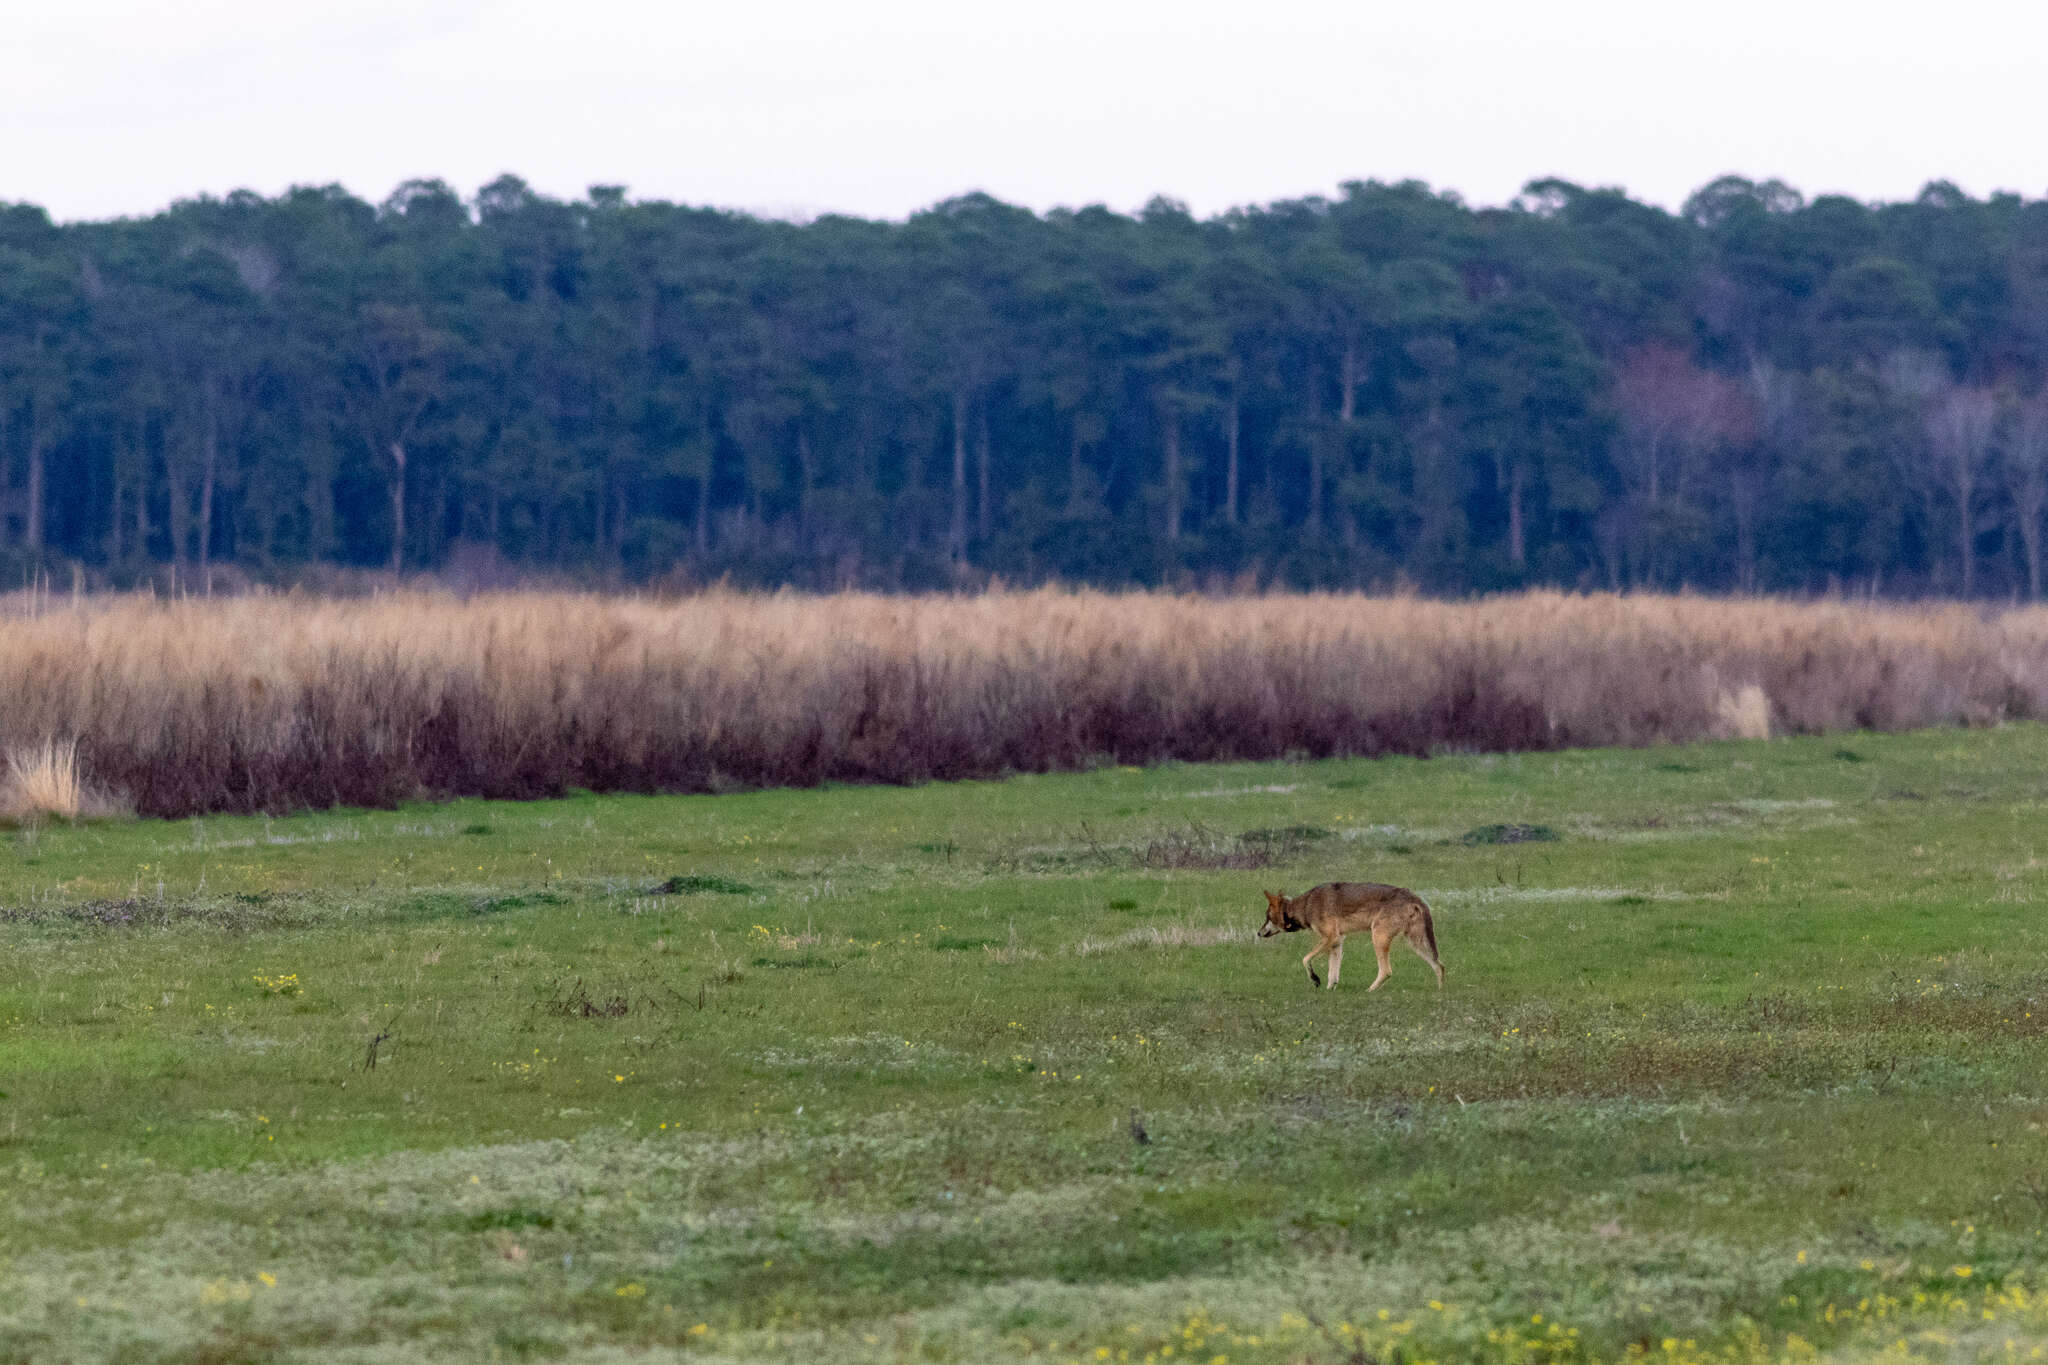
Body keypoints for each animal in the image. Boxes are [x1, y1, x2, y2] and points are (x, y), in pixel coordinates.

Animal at [1253, 888, 1449, 994]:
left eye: (1267, 917)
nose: (1258, 933)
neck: (1305, 906)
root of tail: (1415, 898)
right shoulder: (1337, 942)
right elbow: (1333, 973)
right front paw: (1329, 990)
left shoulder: (1330, 938)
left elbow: (1305, 959)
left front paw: (1315, 979)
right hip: (1416, 943)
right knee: (1439, 966)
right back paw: (1440, 993)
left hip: (1378, 938)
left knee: (1387, 971)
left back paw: (1369, 991)